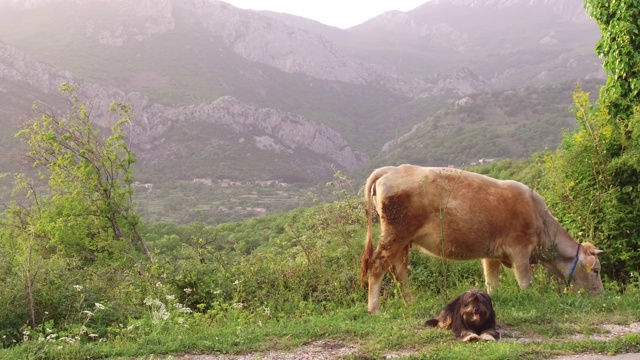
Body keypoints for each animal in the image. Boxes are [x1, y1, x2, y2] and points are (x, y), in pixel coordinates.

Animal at [360, 165, 604, 314]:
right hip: (395, 235)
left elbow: (491, 283)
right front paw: (532, 300)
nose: (601, 295)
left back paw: (410, 304)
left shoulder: (491, 254)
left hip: (402, 241)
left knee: (399, 272)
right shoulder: (520, 249)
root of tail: (393, 169)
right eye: (596, 270)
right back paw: (374, 310)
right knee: (377, 266)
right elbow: (525, 282)